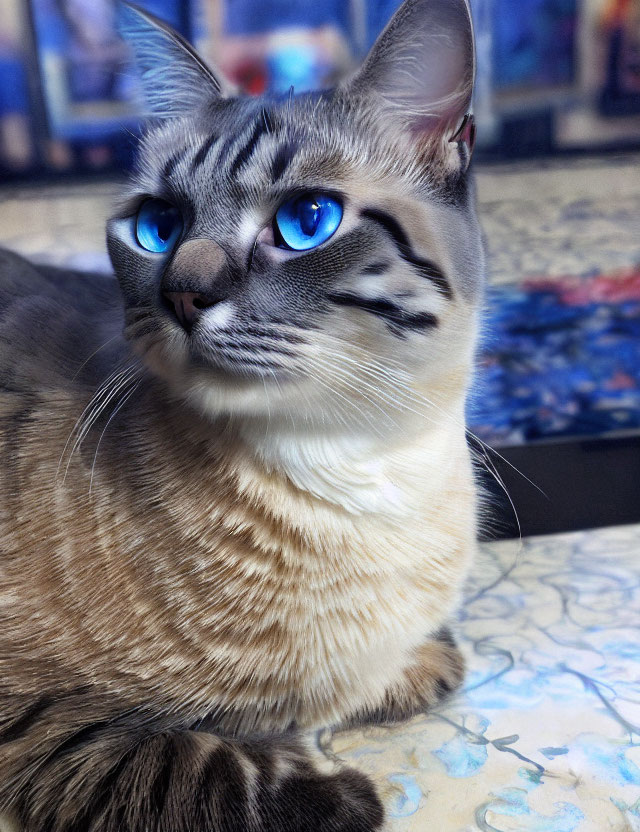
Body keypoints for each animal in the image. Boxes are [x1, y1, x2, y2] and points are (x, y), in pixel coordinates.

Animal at [0, 0, 482, 828]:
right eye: (159, 224)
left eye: (308, 220)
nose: (183, 295)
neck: (365, 466)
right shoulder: (31, 702)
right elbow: (189, 760)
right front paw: (339, 789)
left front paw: (419, 660)